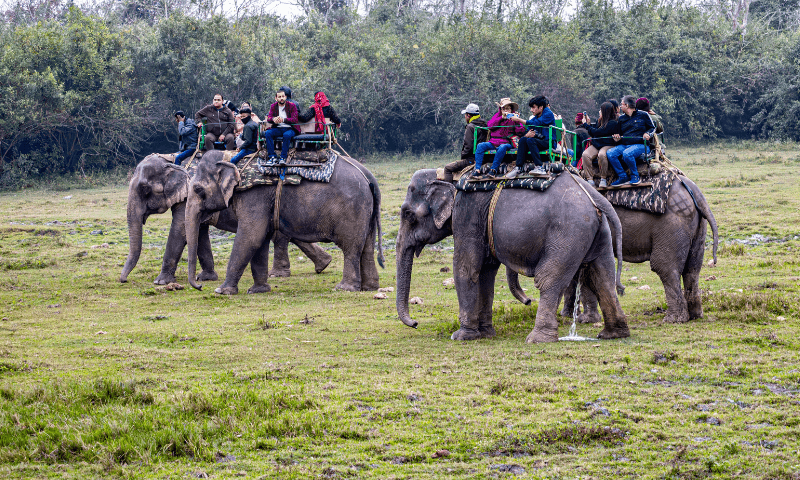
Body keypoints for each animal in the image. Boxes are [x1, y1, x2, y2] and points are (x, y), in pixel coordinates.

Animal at [119, 154, 331, 285]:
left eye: (145, 189)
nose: (123, 280)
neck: (172, 158)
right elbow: (199, 231)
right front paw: (206, 278)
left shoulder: (189, 195)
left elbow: (180, 229)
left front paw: (161, 282)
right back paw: (324, 264)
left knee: (280, 235)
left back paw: (278, 274)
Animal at [184, 150, 384, 294]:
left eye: (198, 189)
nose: (199, 286)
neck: (232, 158)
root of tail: (369, 176)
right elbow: (260, 239)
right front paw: (258, 291)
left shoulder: (254, 195)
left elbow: (251, 236)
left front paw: (222, 291)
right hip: (366, 209)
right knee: (366, 246)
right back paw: (369, 287)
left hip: (353, 209)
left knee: (351, 247)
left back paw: (344, 288)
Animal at [396, 168, 629, 343]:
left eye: (408, 214)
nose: (415, 323)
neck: (448, 176)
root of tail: (595, 196)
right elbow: (486, 272)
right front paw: (486, 333)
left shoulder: (467, 213)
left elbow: (466, 268)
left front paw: (462, 336)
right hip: (598, 231)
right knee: (602, 277)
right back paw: (613, 334)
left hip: (568, 232)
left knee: (549, 279)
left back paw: (537, 339)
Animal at [559, 174, 719, 324]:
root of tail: (693, 189)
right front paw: (571, 316)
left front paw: (583, 319)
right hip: (697, 224)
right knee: (692, 269)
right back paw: (695, 316)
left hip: (673, 223)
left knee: (664, 267)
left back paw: (673, 319)